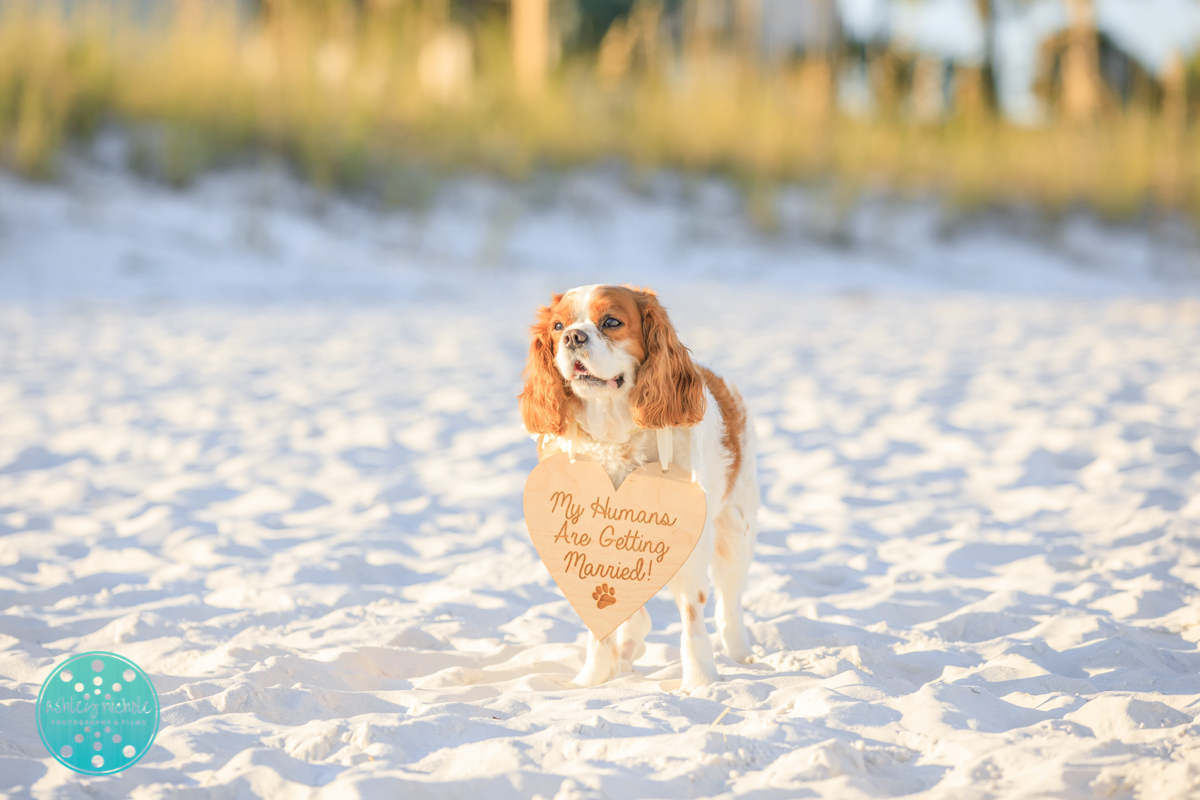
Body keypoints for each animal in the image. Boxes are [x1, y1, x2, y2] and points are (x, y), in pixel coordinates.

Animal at [518, 284, 758, 690]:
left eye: (611, 322)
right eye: (558, 326)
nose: (572, 337)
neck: (614, 431)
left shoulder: (689, 539)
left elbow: (692, 614)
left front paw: (699, 681)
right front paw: (593, 677)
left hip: (734, 527)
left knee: (729, 602)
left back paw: (741, 654)